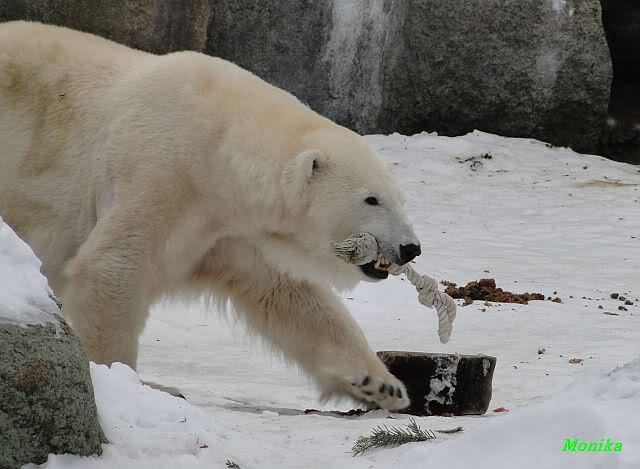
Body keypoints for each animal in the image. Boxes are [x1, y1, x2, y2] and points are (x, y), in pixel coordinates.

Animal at [0, 21, 422, 410]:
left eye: (400, 199)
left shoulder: (232, 231)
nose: (410, 248)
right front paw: (124, 383)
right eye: (371, 199)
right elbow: (114, 266)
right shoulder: (159, 171)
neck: (218, 148)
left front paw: (380, 384)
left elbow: (291, 294)